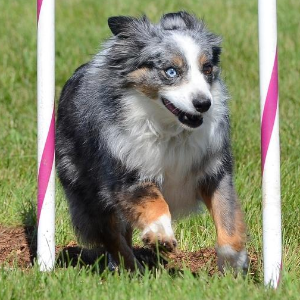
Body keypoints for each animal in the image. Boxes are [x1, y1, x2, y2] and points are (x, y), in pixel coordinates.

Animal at [55, 11, 248, 274]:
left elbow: (226, 216)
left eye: (207, 68)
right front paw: (160, 234)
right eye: (171, 71)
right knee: (113, 237)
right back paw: (133, 270)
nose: (203, 104)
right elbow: (153, 200)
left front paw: (233, 265)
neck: (171, 130)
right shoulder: (128, 172)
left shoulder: (214, 171)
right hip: (87, 191)